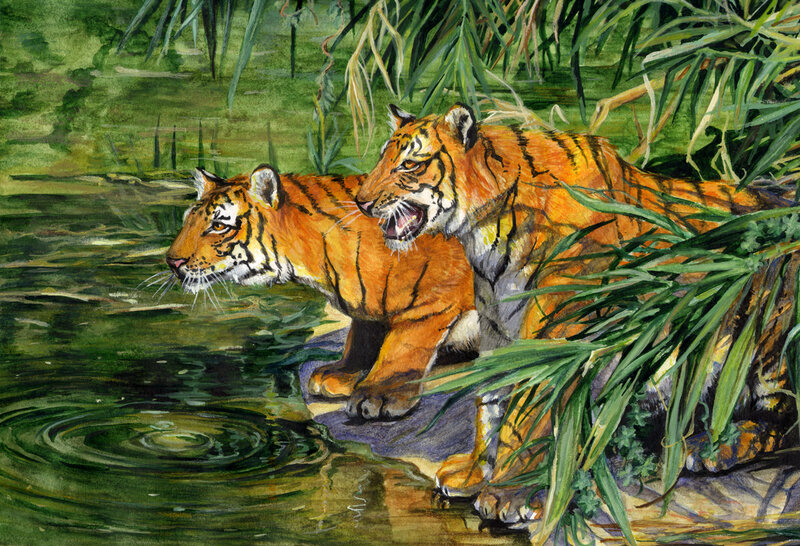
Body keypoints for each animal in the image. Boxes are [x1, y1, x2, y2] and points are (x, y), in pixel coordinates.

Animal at [165, 165, 478, 420]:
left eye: (218, 226)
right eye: (187, 221)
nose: (171, 261)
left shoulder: (431, 300)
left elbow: (403, 347)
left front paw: (378, 395)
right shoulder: (368, 304)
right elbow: (361, 337)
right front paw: (341, 374)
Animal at [354, 103, 798, 526]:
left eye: (409, 165)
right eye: (382, 159)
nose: (361, 202)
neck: (483, 230)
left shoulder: (554, 330)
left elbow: (526, 412)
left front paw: (510, 495)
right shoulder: (497, 326)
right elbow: (491, 401)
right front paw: (475, 474)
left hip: (767, 337)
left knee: (783, 420)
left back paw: (716, 448)